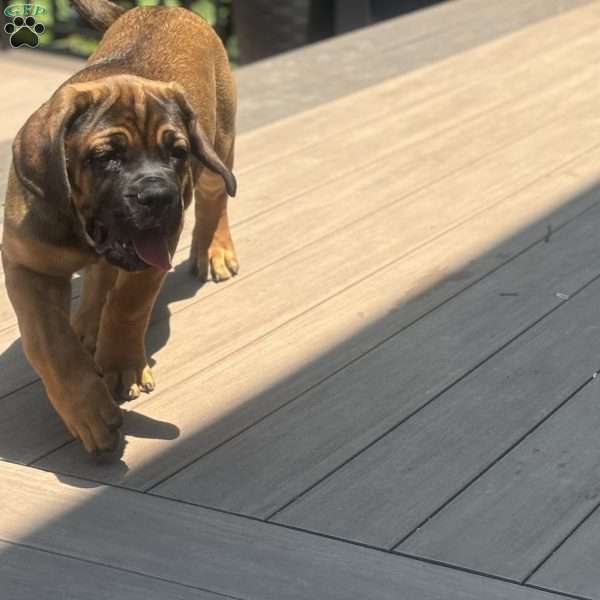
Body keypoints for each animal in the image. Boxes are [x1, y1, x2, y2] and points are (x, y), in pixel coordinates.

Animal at [3, 0, 240, 450]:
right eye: (105, 158)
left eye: (177, 152)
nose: (161, 197)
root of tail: (161, 10)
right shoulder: (28, 265)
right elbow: (50, 344)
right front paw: (87, 409)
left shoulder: (155, 250)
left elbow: (129, 304)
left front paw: (120, 366)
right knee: (98, 279)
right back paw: (87, 322)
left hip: (217, 146)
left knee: (215, 199)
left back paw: (216, 251)